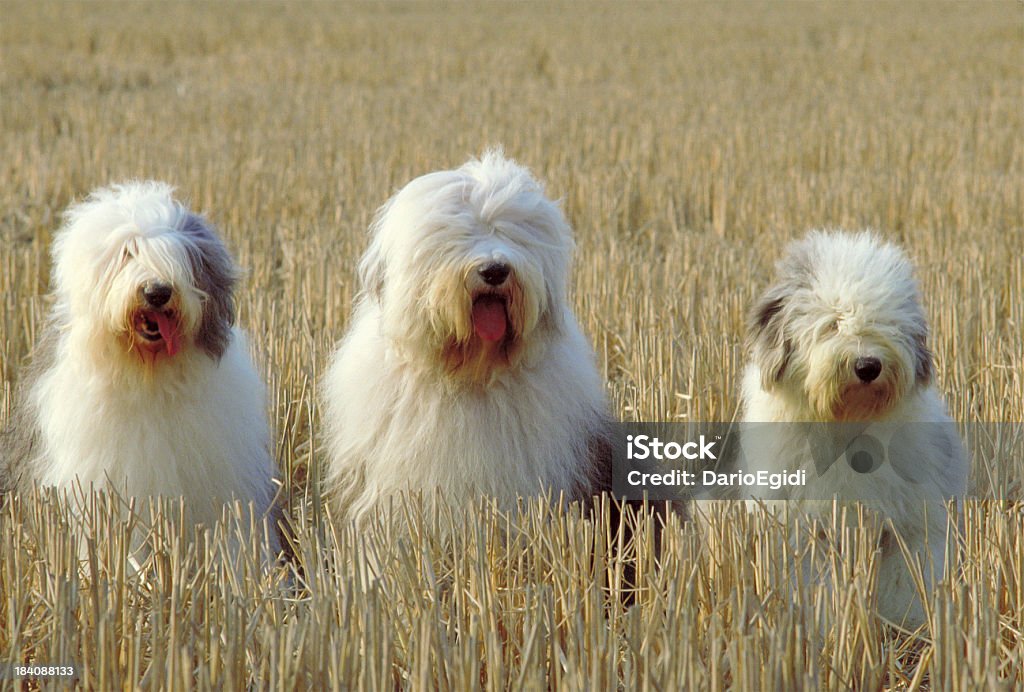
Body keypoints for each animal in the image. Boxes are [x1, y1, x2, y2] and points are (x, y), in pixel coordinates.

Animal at [741, 231, 962, 626]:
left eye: (887, 322)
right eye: (833, 322)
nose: (868, 366)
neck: (845, 423)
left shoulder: (909, 525)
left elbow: (907, 581)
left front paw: (907, 624)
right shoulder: (805, 528)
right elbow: (815, 584)